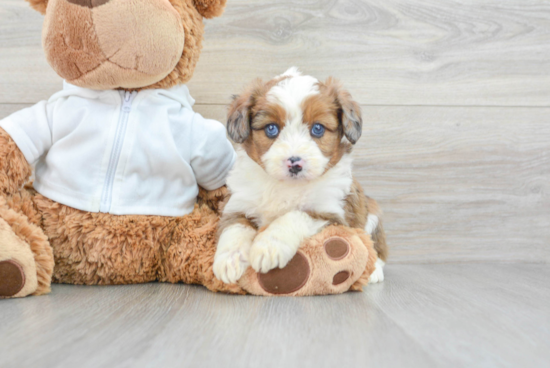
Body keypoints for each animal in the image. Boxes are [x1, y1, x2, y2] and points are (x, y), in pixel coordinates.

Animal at [213, 68, 390, 284]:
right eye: (271, 129)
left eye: (318, 128)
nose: (295, 163)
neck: (285, 185)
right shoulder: (238, 205)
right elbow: (235, 228)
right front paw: (229, 259)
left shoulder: (332, 215)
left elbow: (293, 216)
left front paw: (268, 246)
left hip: (372, 213)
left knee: (377, 250)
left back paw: (373, 272)